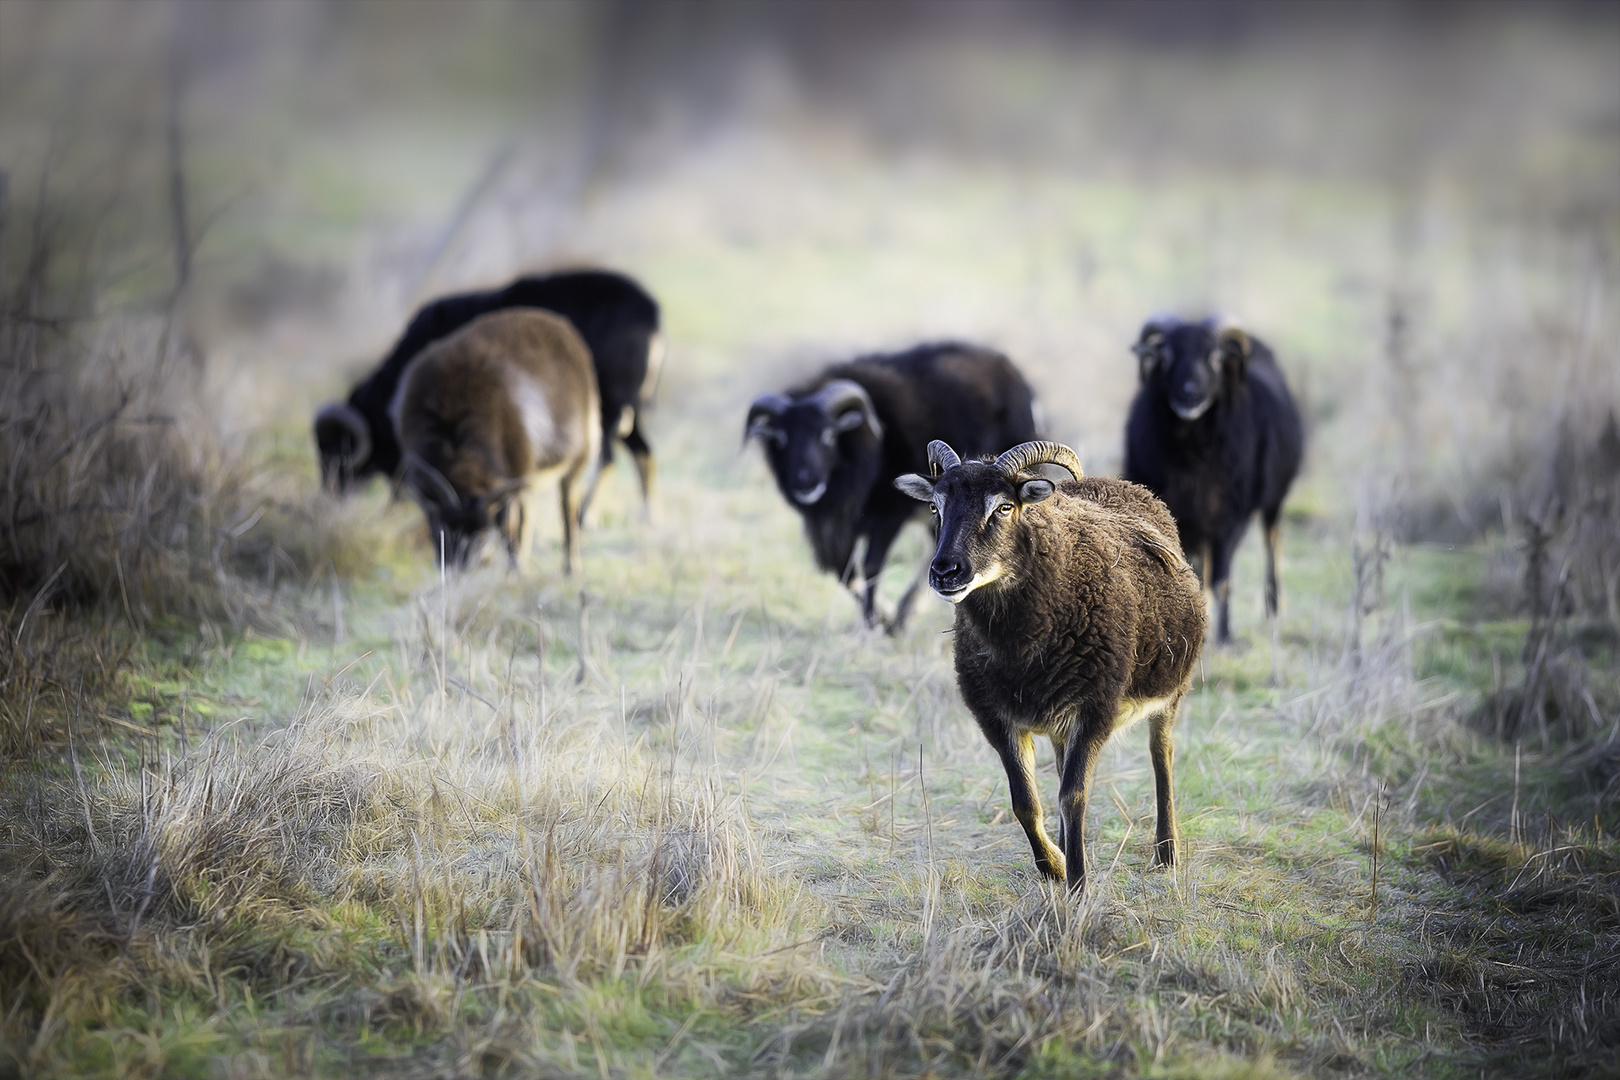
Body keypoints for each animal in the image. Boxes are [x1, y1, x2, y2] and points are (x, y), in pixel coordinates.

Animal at [315, 265, 657, 511]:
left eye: (336, 451)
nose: (329, 497)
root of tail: (650, 314)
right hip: (630, 410)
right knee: (643, 452)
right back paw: (648, 518)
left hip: (609, 405)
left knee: (609, 458)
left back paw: (586, 516)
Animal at [392, 307, 602, 573]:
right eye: (441, 527)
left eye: (482, 533)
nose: (457, 568)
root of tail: (555, 322)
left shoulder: (512, 473)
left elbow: (507, 528)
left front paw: (515, 572)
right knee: (529, 514)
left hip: (576, 457)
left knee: (567, 507)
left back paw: (570, 566)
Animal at [745, 344, 1036, 634]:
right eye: (781, 439)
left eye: (827, 435)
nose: (805, 484)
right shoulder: (831, 525)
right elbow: (843, 570)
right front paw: (885, 617)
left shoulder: (887, 517)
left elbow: (871, 567)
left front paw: (873, 625)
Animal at [894, 440, 1211, 893]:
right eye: (936, 507)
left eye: (1004, 507)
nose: (945, 571)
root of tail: (1119, 483)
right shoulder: (995, 715)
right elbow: (1025, 802)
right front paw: (1054, 867)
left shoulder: (1096, 707)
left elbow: (1072, 796)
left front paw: (1077, 882)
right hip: (1061, 714)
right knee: (1064, 766)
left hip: (1170, 687)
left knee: (1161, 753)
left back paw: (1167, 852)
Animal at [1127, 317, 1302, 647]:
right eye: (1167, 355)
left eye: (1215, 358)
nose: (1190, 395)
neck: (1191, 459)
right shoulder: (1177, 513)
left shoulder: (1228, 520)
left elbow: (1222, 580)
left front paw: (1224, 637)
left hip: (1274, 500)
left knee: (1272, 540)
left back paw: (1273, 607)